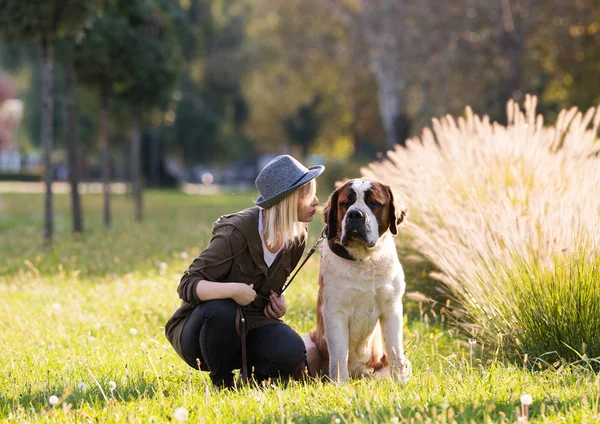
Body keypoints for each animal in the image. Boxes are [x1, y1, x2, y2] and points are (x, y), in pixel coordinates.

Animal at [304, 177, 412, 382]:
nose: (355, 214)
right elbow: (339, 355)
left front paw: (401, 383)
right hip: (309, 343)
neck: (365, 260)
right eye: (345, 203)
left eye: (374, 203)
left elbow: (396, 350)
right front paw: (340, 385)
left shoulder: (392, 308)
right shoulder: (335, 311)